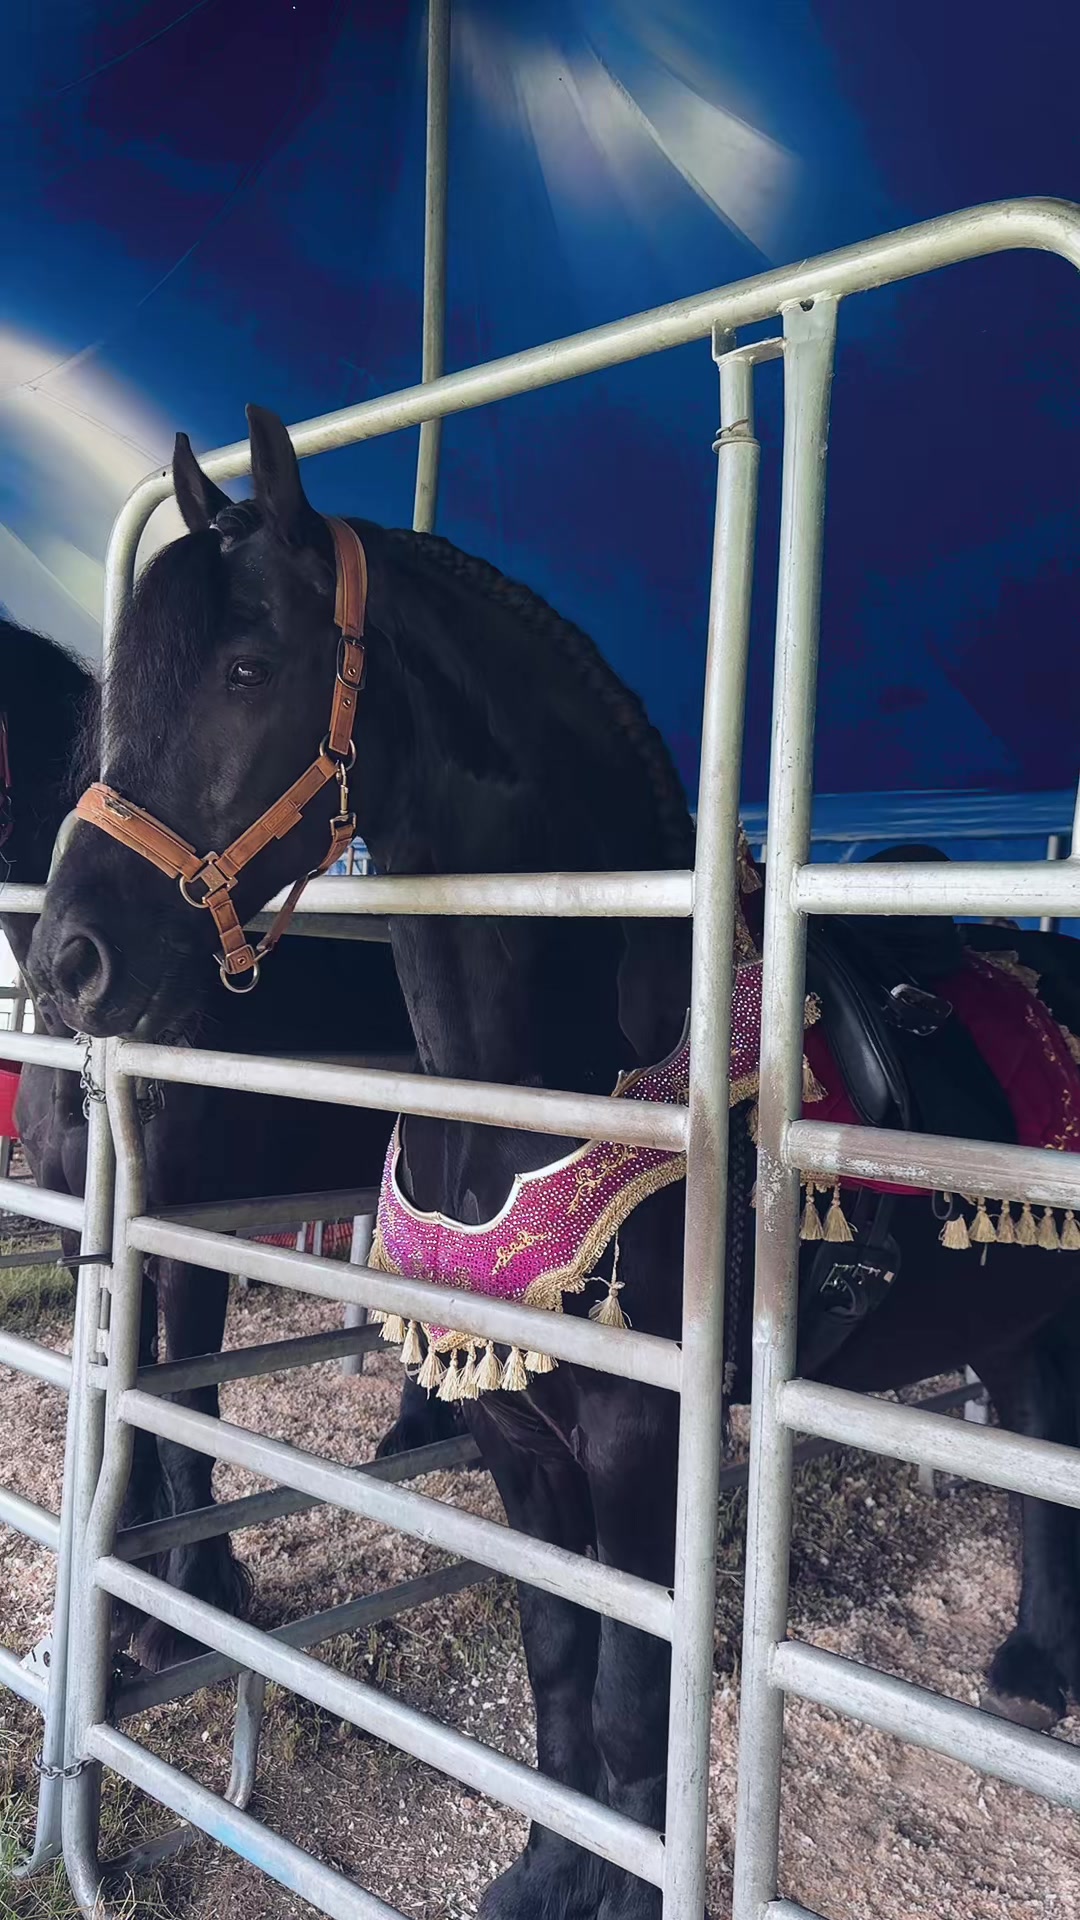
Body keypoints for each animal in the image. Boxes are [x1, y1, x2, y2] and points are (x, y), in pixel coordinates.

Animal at [0, 617, 459, 1672]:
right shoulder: (89, 1236)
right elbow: (115, 1395)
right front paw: (123, 1597)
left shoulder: (189, 1235)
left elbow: (185, 1406)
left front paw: (188, 1601)